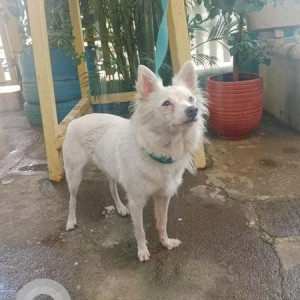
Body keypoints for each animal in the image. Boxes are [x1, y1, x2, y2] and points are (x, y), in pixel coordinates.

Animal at [63, 60, 206, 260]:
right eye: (166, 103)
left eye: (191, 99)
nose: (193, 110)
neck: (163, 149)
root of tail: (75, 121)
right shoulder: (136, 202)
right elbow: (139, 230)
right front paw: (142, 251)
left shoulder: (163, 196)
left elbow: (162, 222)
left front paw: (165, 242)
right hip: (74, 175)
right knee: (72, 199)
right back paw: (71, 221)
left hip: (110, 168)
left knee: (112, 188)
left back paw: (121, 208)